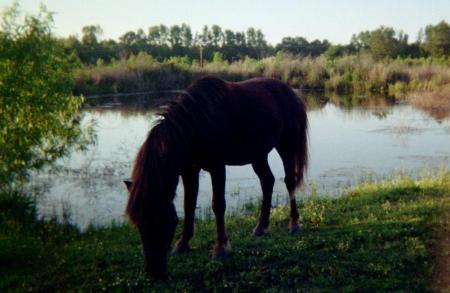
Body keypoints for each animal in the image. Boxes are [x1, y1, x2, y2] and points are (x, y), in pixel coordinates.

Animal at [126, 75, 310, 276]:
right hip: (258, 154)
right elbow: (189, 205)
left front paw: (221, 249)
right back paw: (261, 227)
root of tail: (291, 92)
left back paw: (294, 224)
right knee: (267, 181)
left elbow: (218, 205)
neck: (197, 123)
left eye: (164, 220)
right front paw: (182, 244)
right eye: (138, 223)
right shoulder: (189, 170)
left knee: (289, 181)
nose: (154, 272)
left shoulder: (217, 167)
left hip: (287, 146)